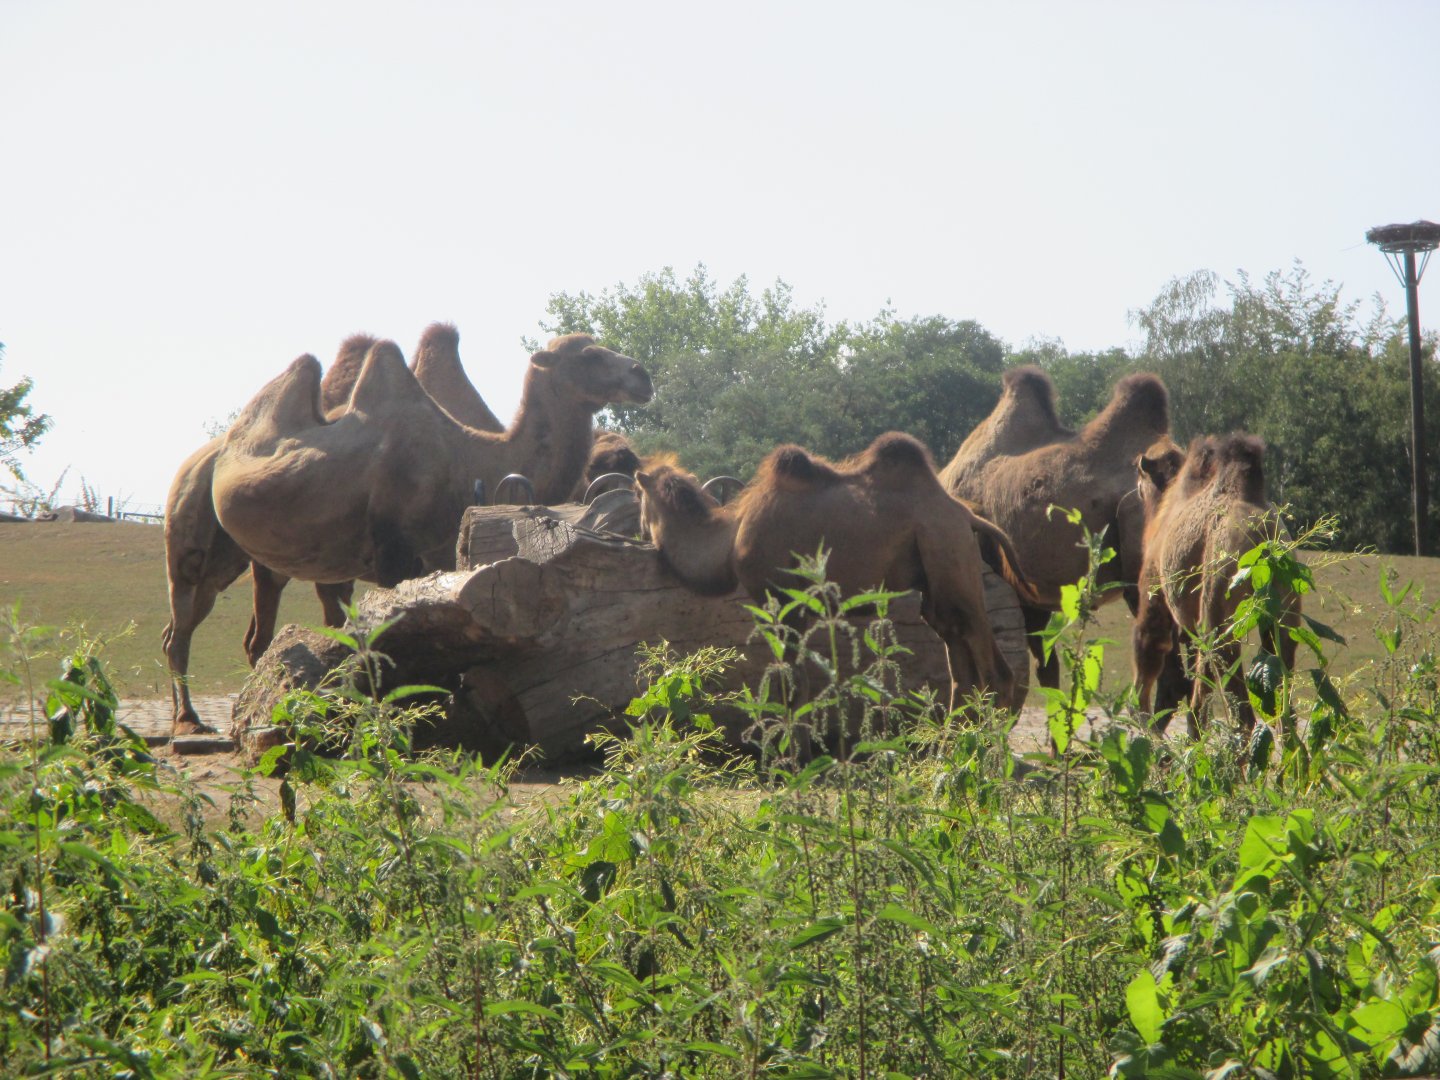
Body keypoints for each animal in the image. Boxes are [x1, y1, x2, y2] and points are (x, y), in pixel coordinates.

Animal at [163, 323, 513, 735]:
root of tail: (200, 459)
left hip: (232, 555)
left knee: (206, 624)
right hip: (195, 536)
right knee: (188, 619)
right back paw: (189, 721)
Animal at [634, 432, 1042, 716]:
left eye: (639, 499)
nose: (639, 532)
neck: (730, 539)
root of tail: (968, 515)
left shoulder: (779, 597)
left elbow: (790, 682)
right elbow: (798, 680)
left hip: (950, 554)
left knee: (993, 669)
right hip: (939, 578)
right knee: (960, 661)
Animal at [1132, 433, 1301, 736]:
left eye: (1140, 476)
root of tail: (1263, 540)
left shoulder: (1154, 585)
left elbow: (1150, 641)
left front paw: (1142, 718)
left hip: (1221, 598)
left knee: (1239, 710)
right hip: (1285, 609)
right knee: (1282, 707)